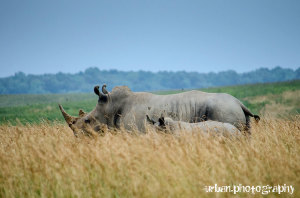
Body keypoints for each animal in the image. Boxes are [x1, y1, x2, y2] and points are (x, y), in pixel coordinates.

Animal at [59, 84, 260, 135]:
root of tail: (240, 103)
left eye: (87, 121)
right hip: (233, 111)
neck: (109, 106)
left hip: (224, 110)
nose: (76, 136)